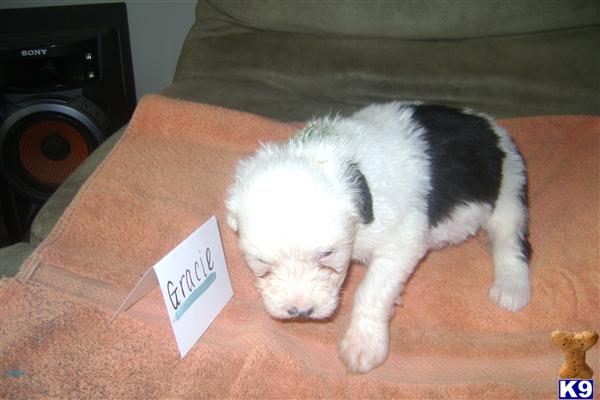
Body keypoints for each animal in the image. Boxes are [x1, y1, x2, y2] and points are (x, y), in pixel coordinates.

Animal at [225, 102, 528, 372]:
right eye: (263, 264)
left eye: (327, 255)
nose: (300, 311)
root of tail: (490, 124)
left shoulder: (402, 241)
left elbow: (370, 292)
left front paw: (363, 346)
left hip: (510, 190)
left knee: (511, 239)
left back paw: (511, 287)